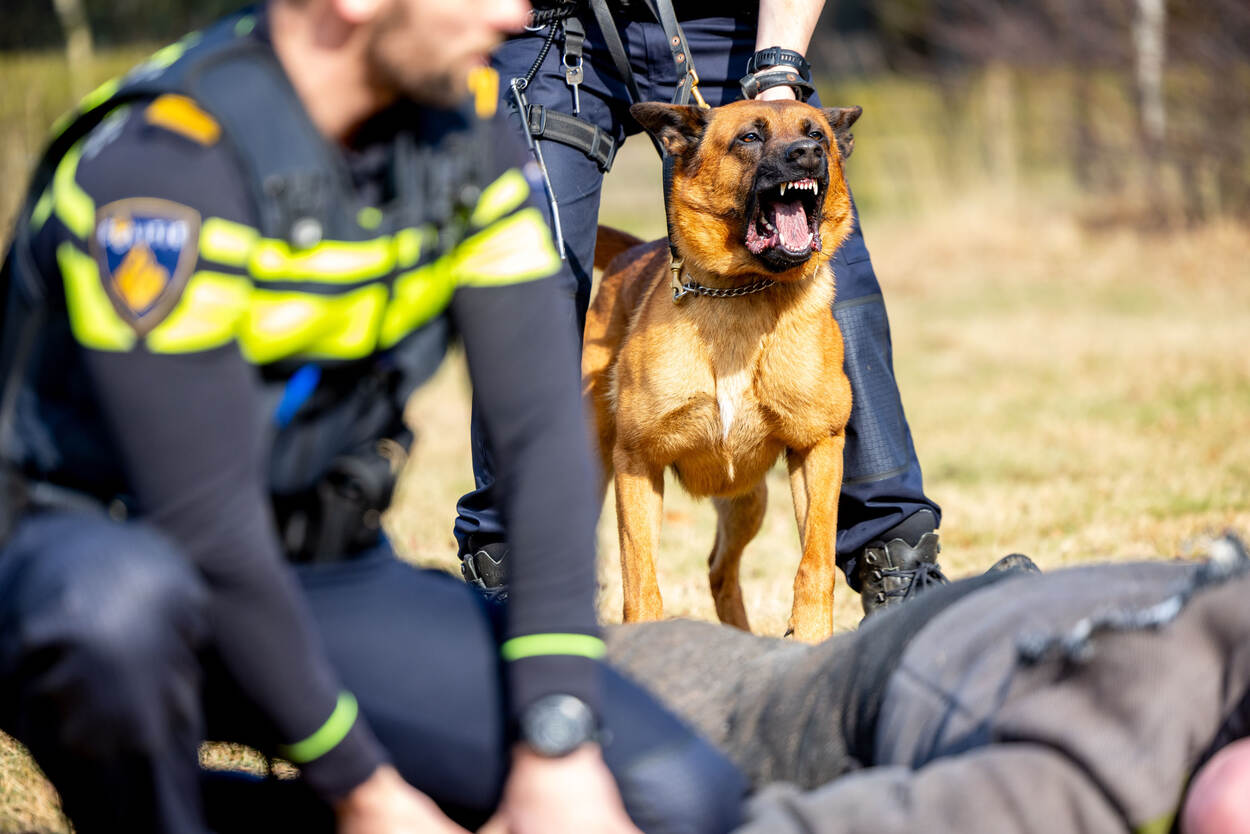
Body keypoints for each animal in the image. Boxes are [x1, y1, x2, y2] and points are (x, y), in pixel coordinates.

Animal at [582, 99, 860, 645]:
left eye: (817, 134)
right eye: (750, 137)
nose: (808, 153)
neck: (744, 290)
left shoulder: (818, 449)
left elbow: (815, 561)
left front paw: (811, 635)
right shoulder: (637, 463)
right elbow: (640, 578)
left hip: (748, 499)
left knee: (718, 569)